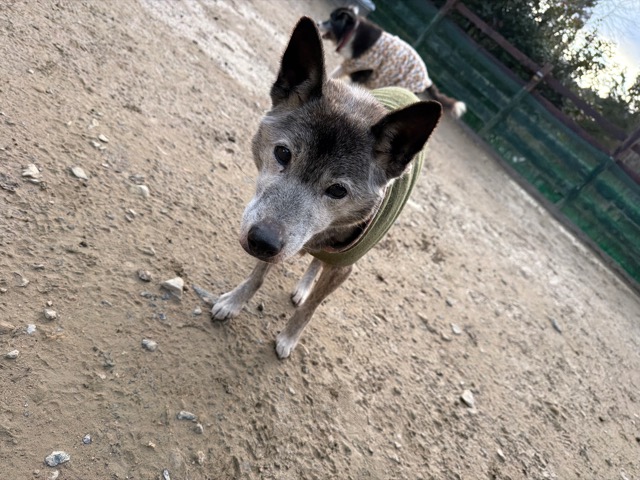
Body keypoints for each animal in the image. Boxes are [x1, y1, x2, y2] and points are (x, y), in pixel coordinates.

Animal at [210, 17, 441, 359]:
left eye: (338, 191)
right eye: (283, 153)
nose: (262, 241)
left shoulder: (343, 268)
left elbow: (311, 309)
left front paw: (288, 338)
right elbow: (257, 276)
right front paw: (234, 302)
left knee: (319, 264)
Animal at [318, 6, 467, 118]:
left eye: (332, 19)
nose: (318, 23)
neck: (352, 33)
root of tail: (427, 80)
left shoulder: (359, 72)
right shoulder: (349, 64)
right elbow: (334, 74)